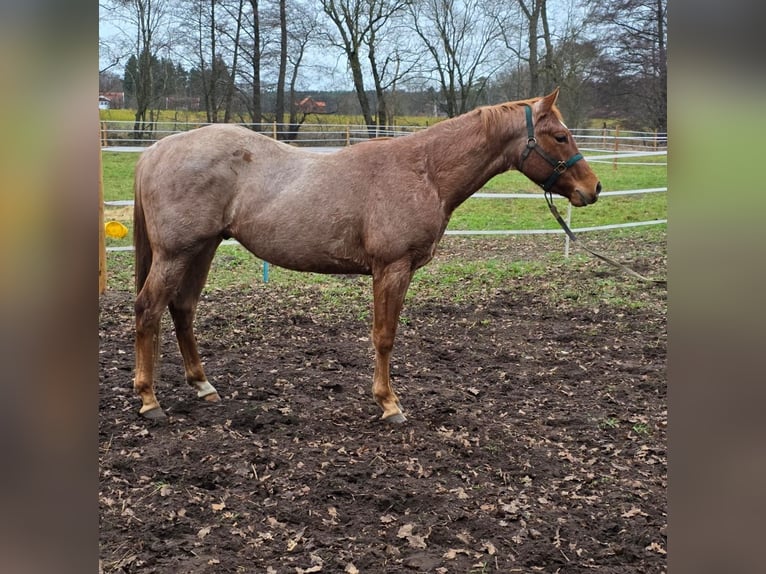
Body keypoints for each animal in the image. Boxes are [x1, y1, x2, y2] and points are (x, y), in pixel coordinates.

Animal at [132, 88, 601, 422]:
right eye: (560, 136)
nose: (592, 188)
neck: (424, 170)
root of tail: (159, 148)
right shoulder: (392, 269)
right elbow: (384, 336)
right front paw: (389, 404)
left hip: (202, 248)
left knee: (182, 309)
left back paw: (202, 385)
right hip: (176, 253)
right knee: (149, 309)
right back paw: (150, 400)